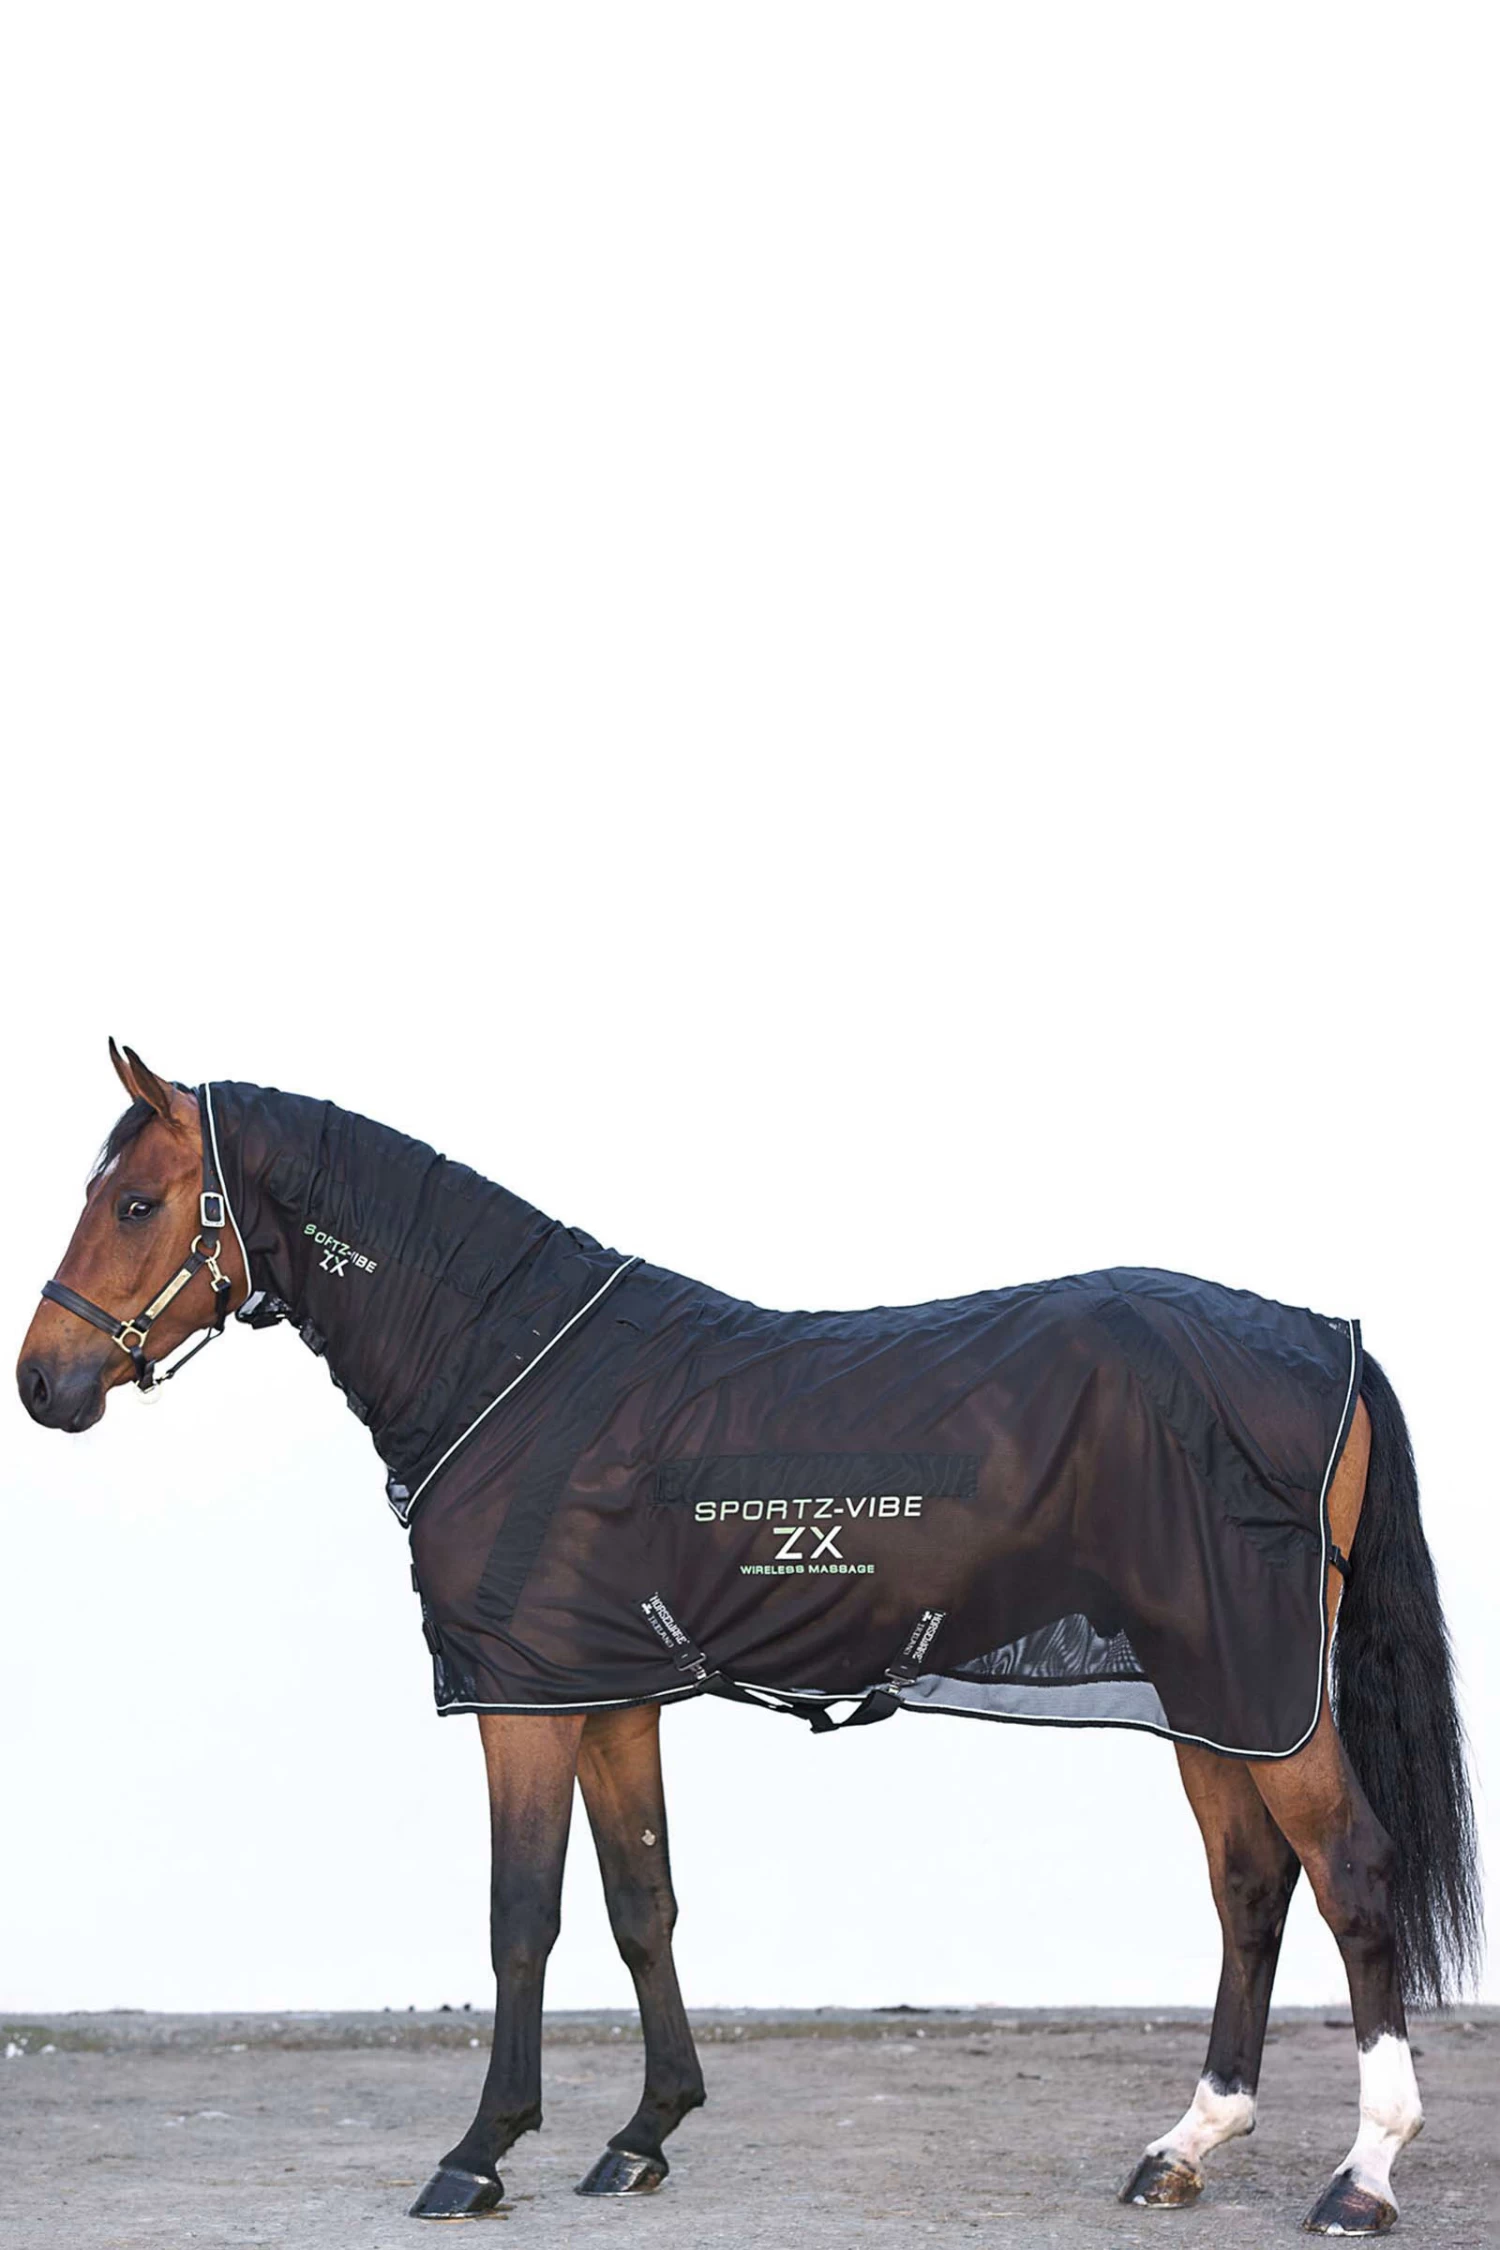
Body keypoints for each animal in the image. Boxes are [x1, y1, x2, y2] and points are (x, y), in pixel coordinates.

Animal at [15, 1043, 1480, 2234]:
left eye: (136, 1201)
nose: (43, 1382)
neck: (509, 1369)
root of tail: (1325, 1341)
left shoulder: (522, 1702)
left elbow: (521, 1916)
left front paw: (478, 2154)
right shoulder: (609, 1694)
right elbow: (641, 1904)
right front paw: (642, 2135)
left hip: (1256, 1684)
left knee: (1351, 1874)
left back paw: (1362, 2175)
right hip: (1217, 1691)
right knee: (1250, 1884)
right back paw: (1186, 2144)